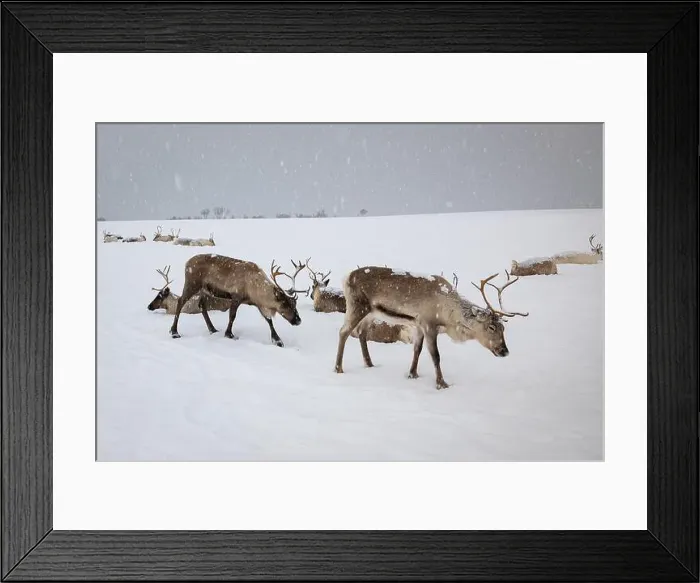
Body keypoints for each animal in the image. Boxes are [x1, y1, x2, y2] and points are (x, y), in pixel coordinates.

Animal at [169, 254, 306, 347]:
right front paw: (229, 334)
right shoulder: (236, 297)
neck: (255, 287)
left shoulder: (258, 303)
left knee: (202, 305)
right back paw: (174, 332)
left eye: (294, 304)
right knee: (180, 301)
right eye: (285, 304)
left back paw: (213, 329)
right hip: (192, 284)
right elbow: (232, 316)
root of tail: (187, 263)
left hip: (204, 291)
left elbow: (269, 320)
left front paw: (278, 340)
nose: (298, 320)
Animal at [334, 267, 529, 390]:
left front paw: (412, 374)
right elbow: (436, 356)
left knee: (362, 333)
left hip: (371, 313)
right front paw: (441, 384)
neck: (448, 316)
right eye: (491, 327)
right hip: (356, 306)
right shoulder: (428, 324)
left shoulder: (418, 325)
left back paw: (369, 364)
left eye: (503, 328)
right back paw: (338, 368)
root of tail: (346, 277)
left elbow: (417, 350)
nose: (504, 351)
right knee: (343, 331)